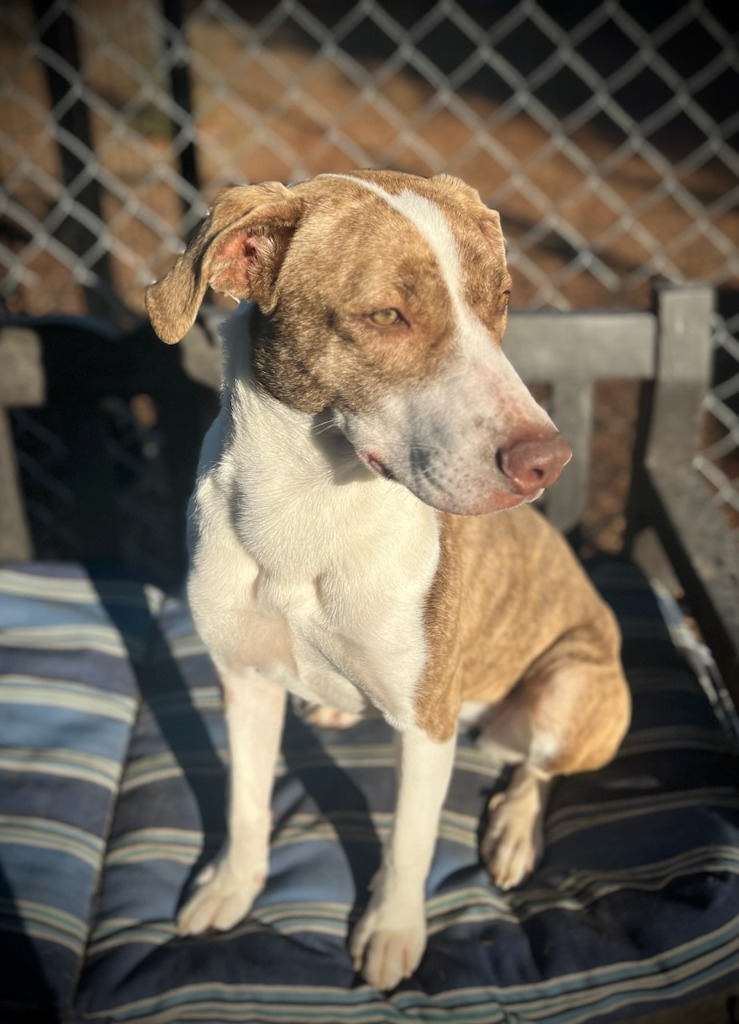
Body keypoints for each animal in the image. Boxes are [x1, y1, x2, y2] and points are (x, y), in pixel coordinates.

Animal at [144, 169, 626, 991]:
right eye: (385, 315)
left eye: (500, 298)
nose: (547, 463)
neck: (305, 512)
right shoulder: (243, 679)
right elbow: (245, 802)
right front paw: (231, 887)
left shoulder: (428, 724)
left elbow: (407, 842)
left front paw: (391, 933)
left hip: (569, 692)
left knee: (535, 771)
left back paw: (511, 833)